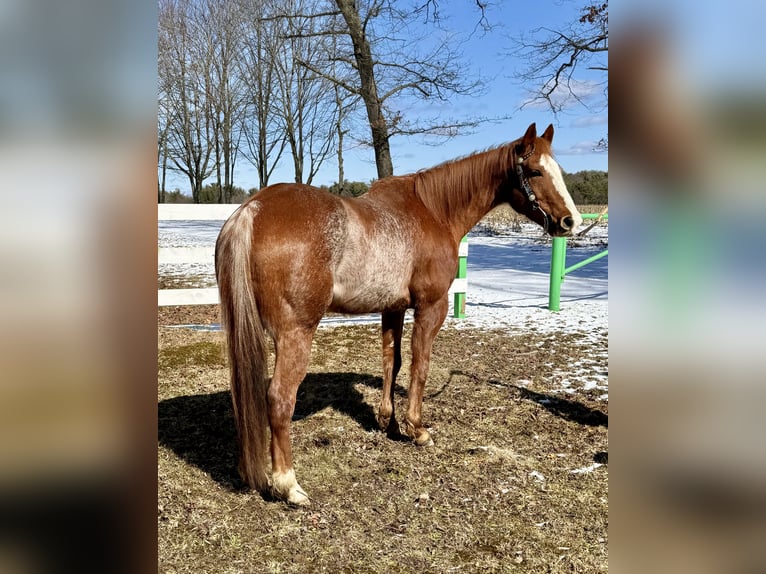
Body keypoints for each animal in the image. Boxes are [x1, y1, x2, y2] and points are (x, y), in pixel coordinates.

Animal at [215, 122, 582, 505]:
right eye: (536, 171)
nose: (571, 221)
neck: (433, 210)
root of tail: (253, 209)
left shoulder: (393, 308)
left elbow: (393, 361)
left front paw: (387, 421)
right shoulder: (431, 307)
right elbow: (420, 365)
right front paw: (417, 429)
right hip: (296, 333)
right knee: (278, 398)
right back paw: (288, 484)